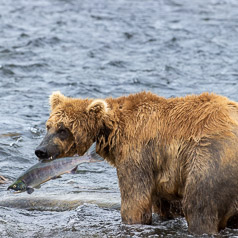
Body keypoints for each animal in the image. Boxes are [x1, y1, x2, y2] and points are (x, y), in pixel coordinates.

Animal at [35, 92, 238, 235]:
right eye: (48, 126)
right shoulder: (161, 168)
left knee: (199, 204)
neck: (111, 132)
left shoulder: (137, 153)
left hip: (209, 156)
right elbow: (163, 204)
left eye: (62, 129)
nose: (41, 150)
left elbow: (135, 200)